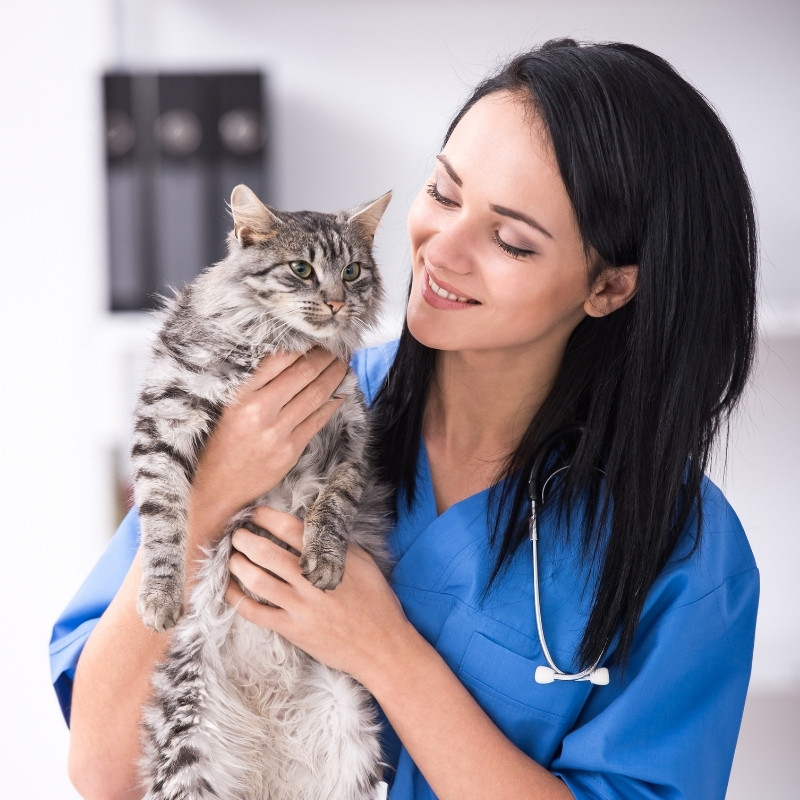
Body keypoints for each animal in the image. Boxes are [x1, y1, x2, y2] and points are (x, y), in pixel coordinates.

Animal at [130, 184, 394, 800]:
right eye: (301, 270)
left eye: (352, 271)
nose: (335, 302)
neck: (282, 345)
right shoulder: (167, 416)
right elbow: (163, 517)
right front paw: (159, 597)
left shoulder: (351, 431)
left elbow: (337, 500)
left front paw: (323, 560)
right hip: (189, 757)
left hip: (352, 750)